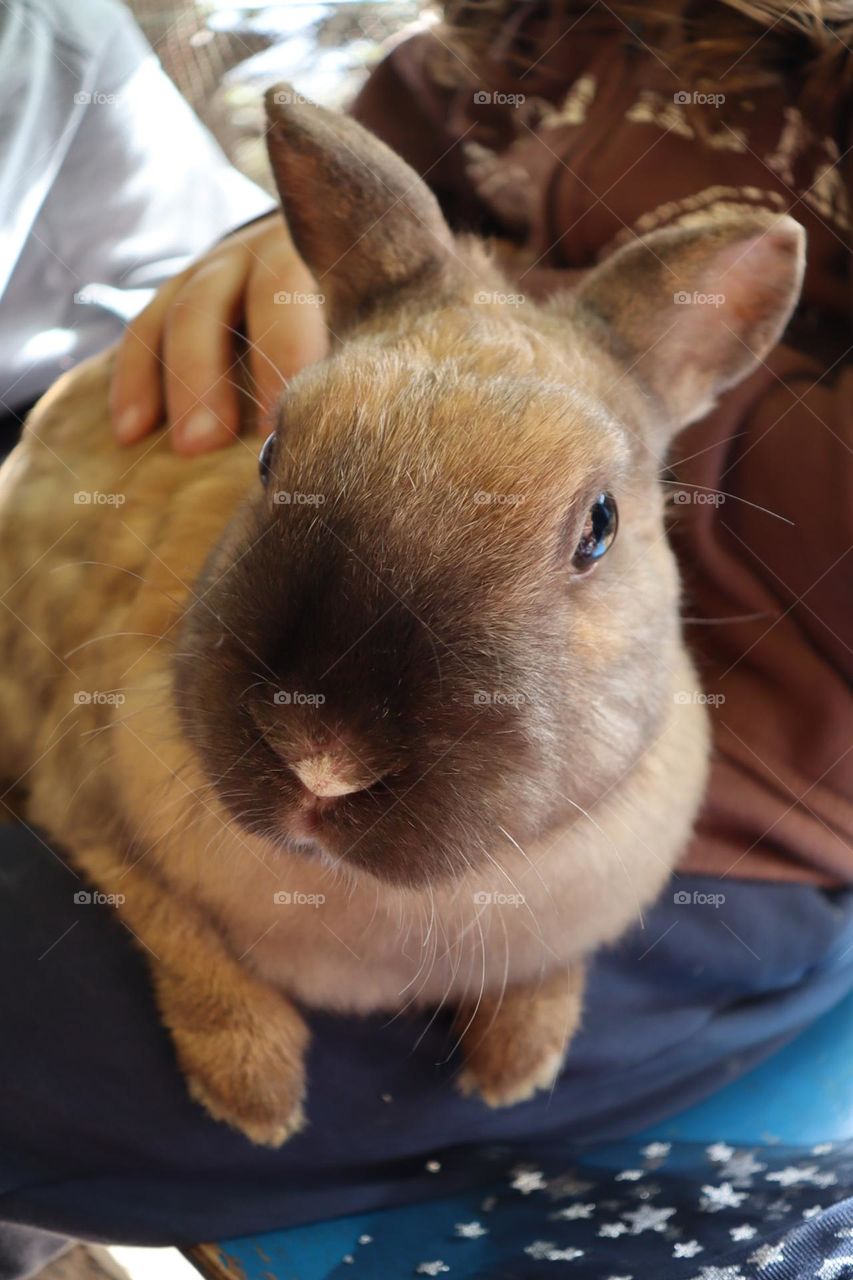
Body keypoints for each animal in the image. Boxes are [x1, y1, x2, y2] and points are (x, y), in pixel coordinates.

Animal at [0, 92, 799, 1152]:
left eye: (599, 528)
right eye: (270, 453)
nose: (322, 756)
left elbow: (549, 978)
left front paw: (514, 1073)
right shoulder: (91, 816)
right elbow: (190, 951)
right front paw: (256, 1099)